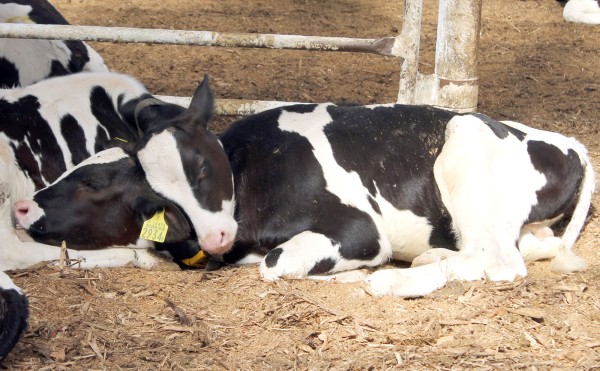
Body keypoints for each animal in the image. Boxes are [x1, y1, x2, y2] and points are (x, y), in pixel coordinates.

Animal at [11, 104, 592, 300]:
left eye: (93, 183)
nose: (22, 207)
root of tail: (561, 139)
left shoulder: (360, 230)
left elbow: (275, 265)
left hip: (463, 142)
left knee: (499, 265)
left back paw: (391, 280)